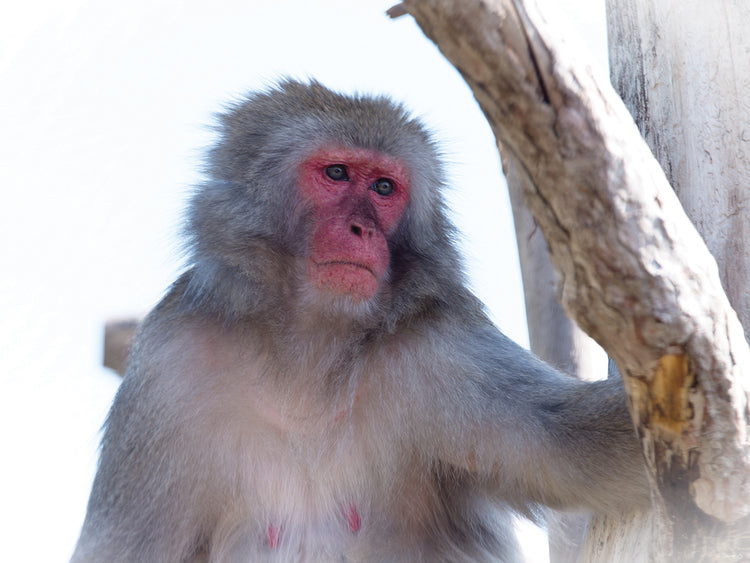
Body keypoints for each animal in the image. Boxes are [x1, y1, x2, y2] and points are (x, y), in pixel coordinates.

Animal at [71, 80, 648, 562]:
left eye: (384, 188)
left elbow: (583, 451)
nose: (361, 230)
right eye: (336, 174)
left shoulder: (442, 347)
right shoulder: (169, 366)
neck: (309, 353)